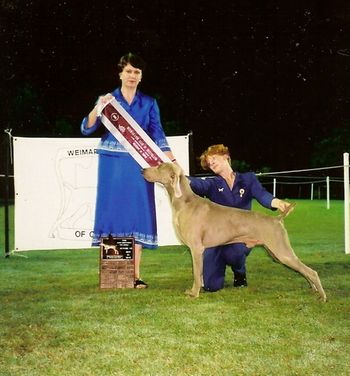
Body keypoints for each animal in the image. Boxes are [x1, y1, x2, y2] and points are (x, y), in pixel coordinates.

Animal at [142, 163, 326, 302]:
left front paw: (194, 293)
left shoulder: (196, 248)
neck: (184, 202)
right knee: (303, 270)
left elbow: (196, 273)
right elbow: (199, 273)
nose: (142, 170)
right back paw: (313, 290)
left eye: (159, 166)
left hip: (281, 250)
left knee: (311, 271)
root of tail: (276, 219)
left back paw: (322, 296)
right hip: (276, 252)